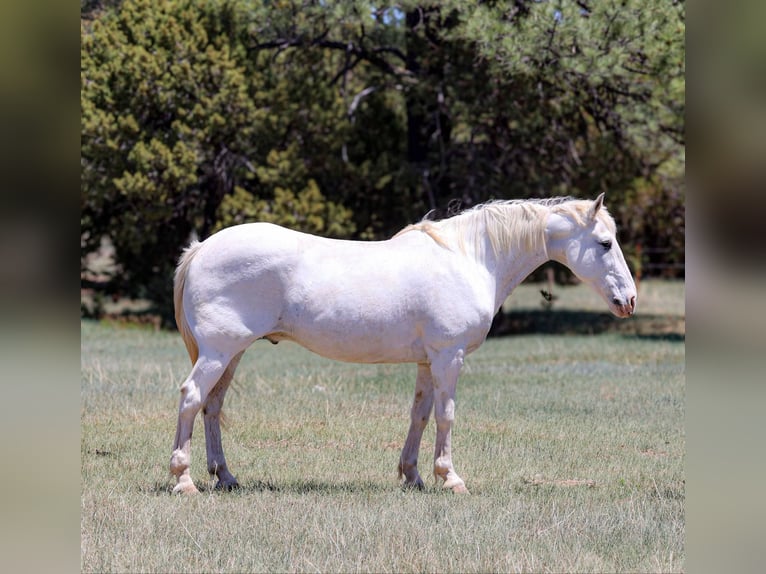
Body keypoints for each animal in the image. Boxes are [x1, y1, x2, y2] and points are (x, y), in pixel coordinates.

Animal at [169, 193, 636, 494]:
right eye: (605, 243)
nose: (628, 300)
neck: (469, 259)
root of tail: (202, 248)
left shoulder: (428, 362)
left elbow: (420, 415)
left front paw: (412, 475)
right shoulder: (449, 357)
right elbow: (446, 416)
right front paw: (450, 478)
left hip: (232, 354)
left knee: (212, 406)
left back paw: (225, 477)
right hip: (218, 352)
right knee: (192, 398)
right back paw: (184, 480)